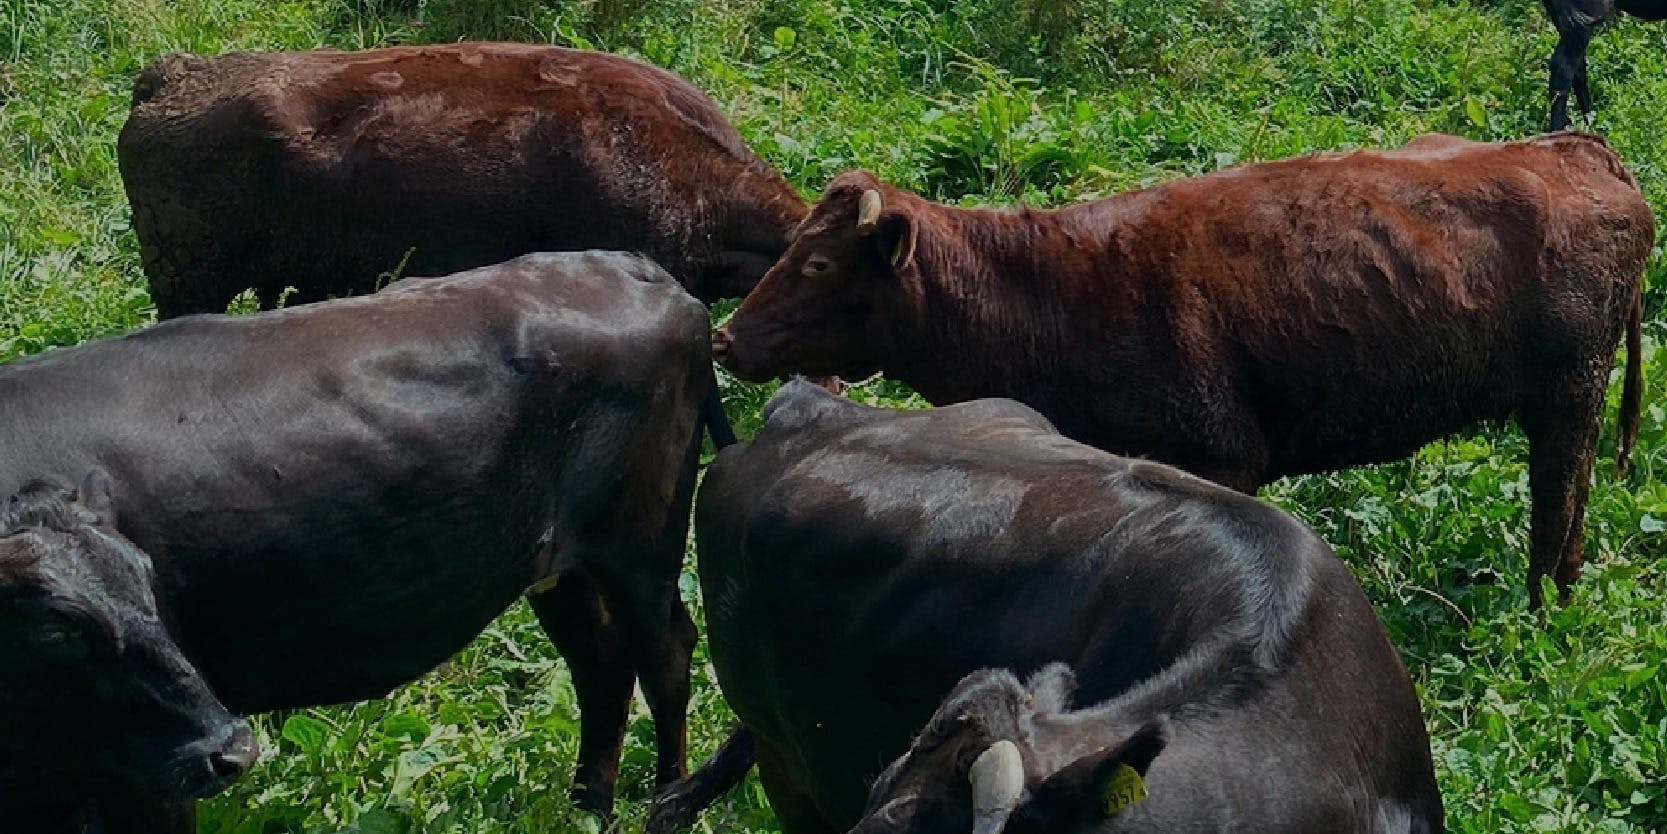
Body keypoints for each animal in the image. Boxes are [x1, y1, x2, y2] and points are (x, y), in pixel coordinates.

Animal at [0, 250, 710, 830]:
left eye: (150, 581)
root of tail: (633, 266)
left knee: (666, 659)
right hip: (561, 566)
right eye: (54, 632)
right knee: (602, 665)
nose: (236, 747)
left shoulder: (145, 777)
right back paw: (589, 809)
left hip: (641, 549)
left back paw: (666, 808)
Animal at [720, 133, 1653, 610]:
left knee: (1559, 498)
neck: (1045, 294)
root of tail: (1577, 147)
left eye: (817, 265)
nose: (726, 340)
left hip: (1569, 389)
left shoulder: (1222, 455)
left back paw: (1543, 610)